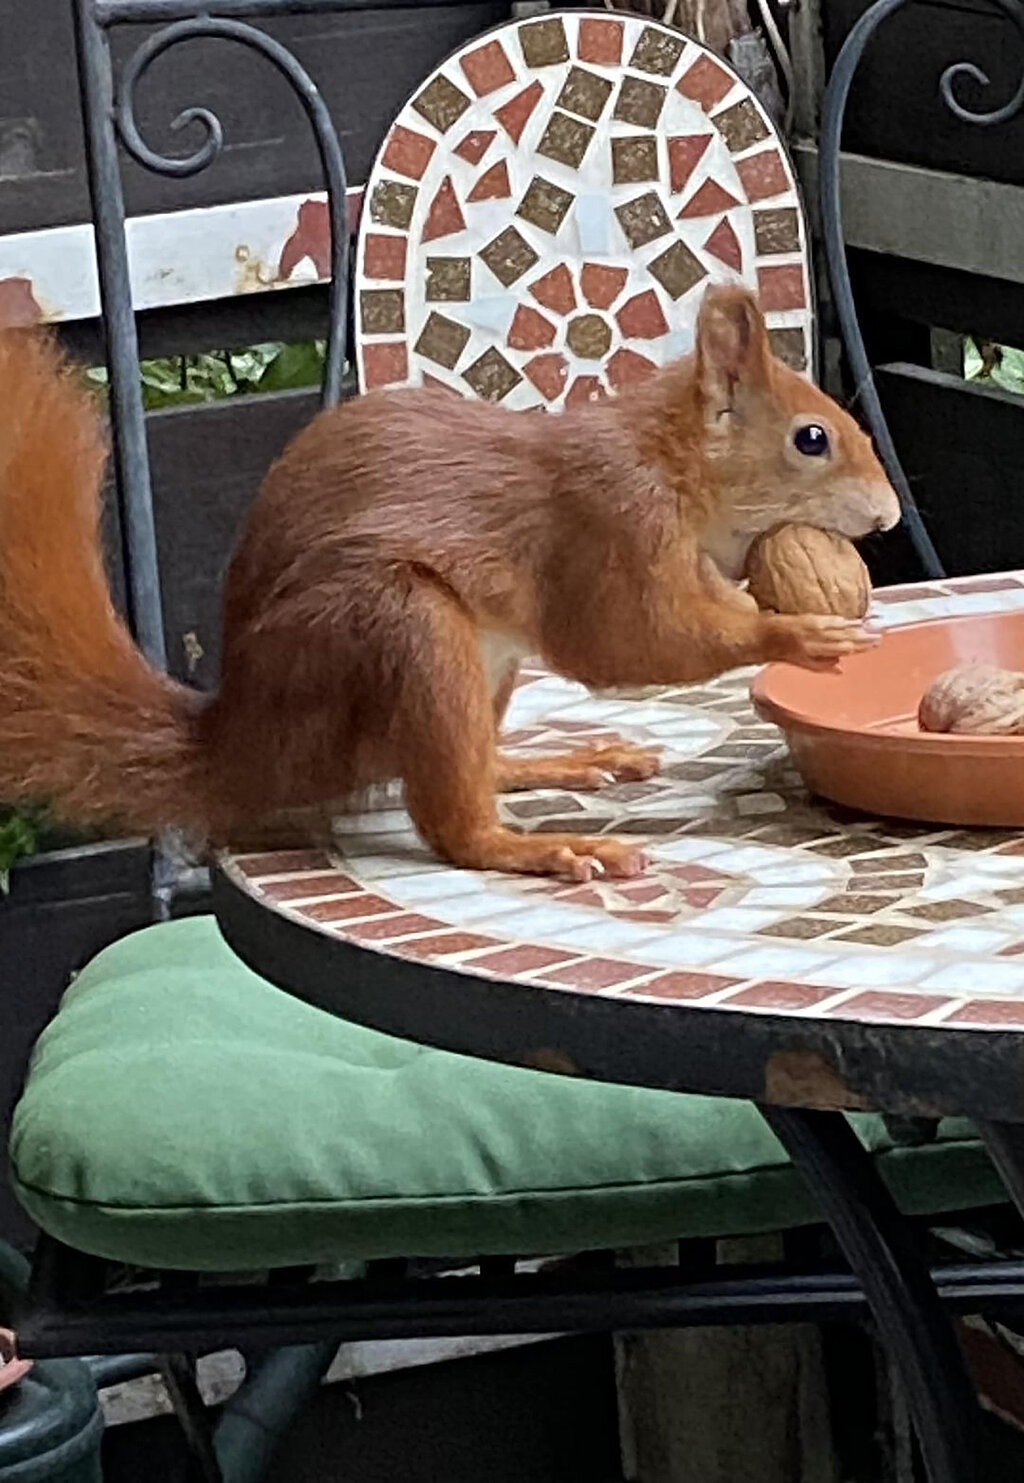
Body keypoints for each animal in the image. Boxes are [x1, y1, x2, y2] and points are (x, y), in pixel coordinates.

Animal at [0, 285, 899, 882]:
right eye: (811, 438)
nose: (890, 516)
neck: (671, 465)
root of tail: (246, 738)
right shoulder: (609, 525)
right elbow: (631, 639)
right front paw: (794, 631)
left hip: (484, 668)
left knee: (473, 762)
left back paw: (555, 763)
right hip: (400, 633)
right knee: (449, 824)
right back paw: (537, 847)